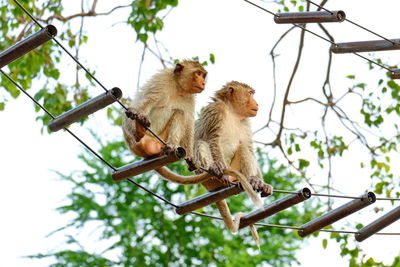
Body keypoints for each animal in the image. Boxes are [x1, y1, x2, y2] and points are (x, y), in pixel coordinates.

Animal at [192, 80, 274, 246]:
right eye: (250, 94)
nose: (257, 103)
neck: (233, 113)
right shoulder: (215, 110)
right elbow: (212, 139)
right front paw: (218, 168)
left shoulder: (246, 122)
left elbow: (248, 147)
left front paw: (262, 183)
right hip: (207, 180)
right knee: (201, 143)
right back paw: (218, 175)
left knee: (243, 148)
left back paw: (252, 180)